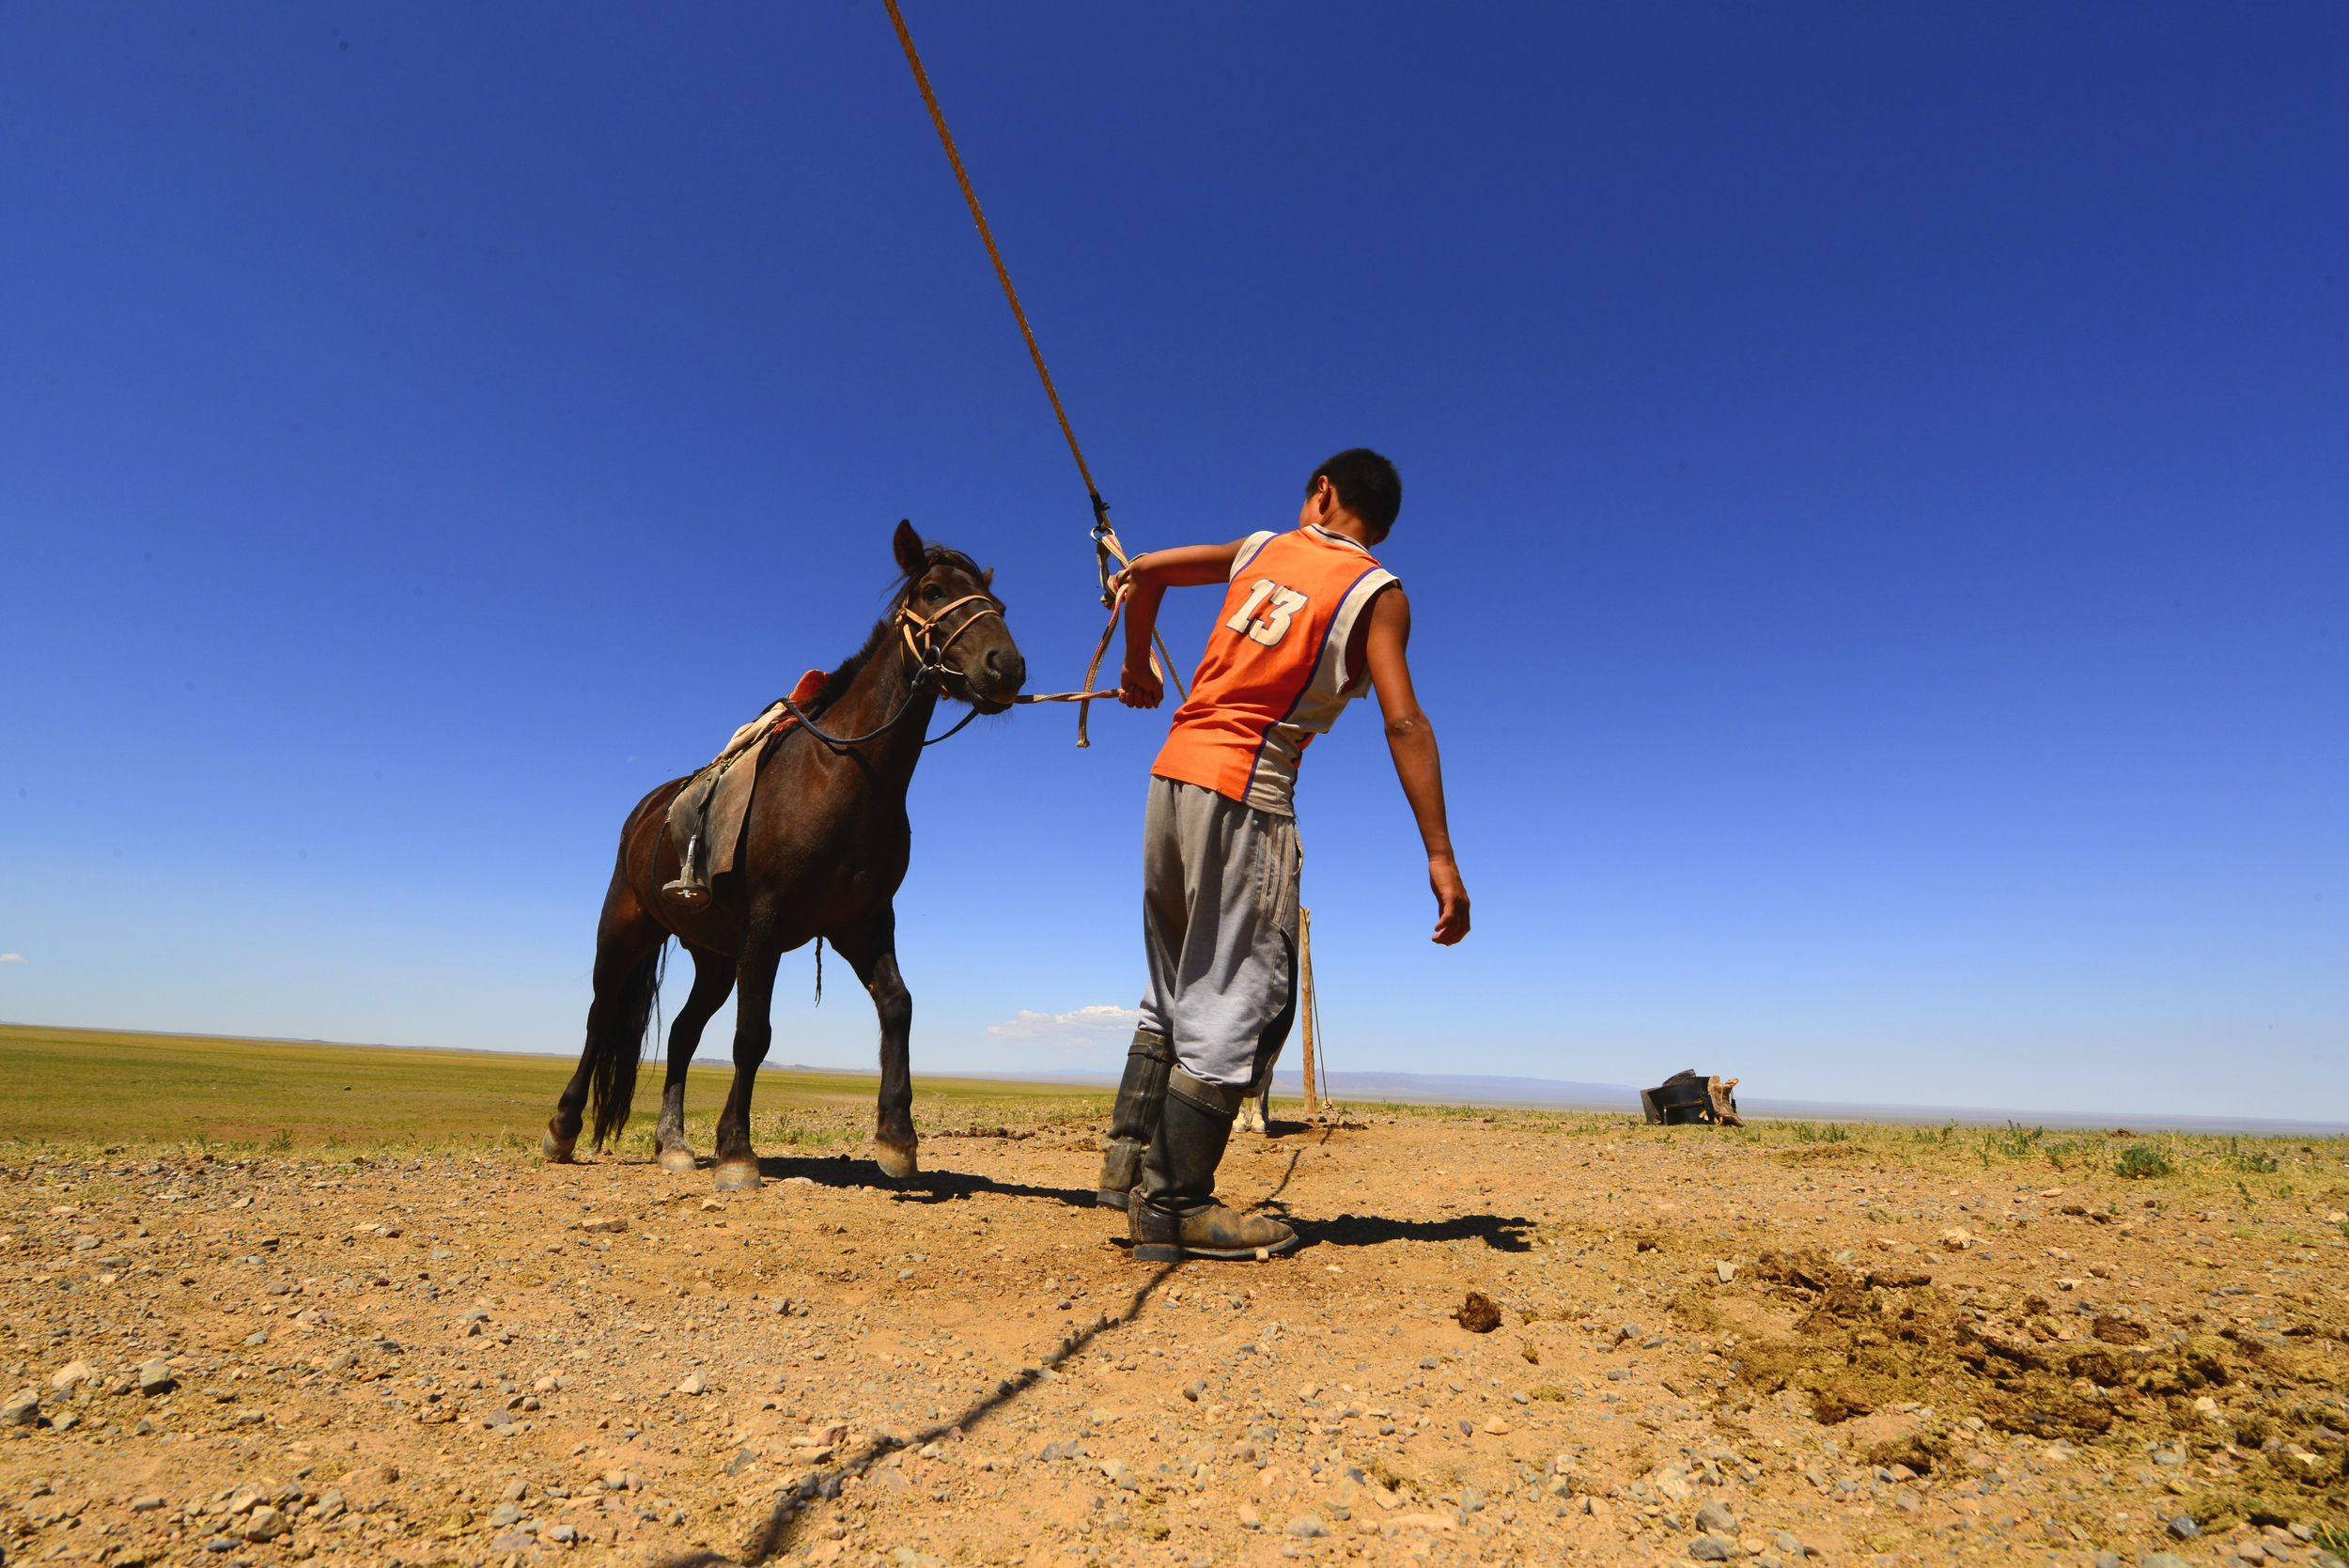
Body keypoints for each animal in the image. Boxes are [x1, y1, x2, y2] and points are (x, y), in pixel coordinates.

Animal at [554, 516, 1034, 1188]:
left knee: (681, 1033)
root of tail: (645, 813)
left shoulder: (861, 922)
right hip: (626, 929)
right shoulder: (767, 921)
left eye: (1001, 606)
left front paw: (896, 1137)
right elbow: (752, 1035)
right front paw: (737, 1151)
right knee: (601, 1017)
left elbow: (898, 1005)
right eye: (934, 590)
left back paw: (672, 1143)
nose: (1006, 666)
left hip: (714, 956)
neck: (845, 776)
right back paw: (564, 1127)